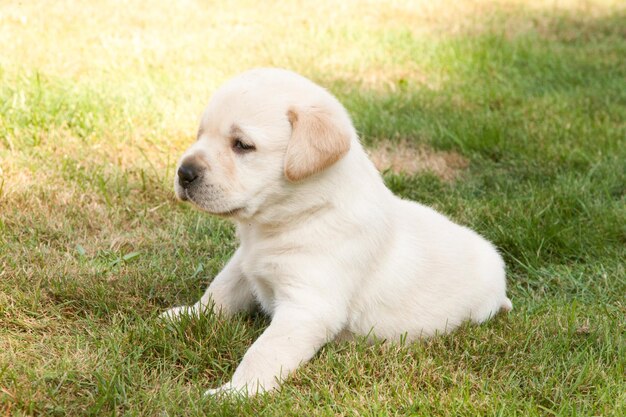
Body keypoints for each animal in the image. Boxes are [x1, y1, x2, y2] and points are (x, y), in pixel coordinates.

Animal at [163, 67, 510, 394]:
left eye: (242, 145)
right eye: (200, 134)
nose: (184, 172)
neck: (298, 214)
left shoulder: (307, 306)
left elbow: (263, 352)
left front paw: (236, 393)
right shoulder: (243, 264)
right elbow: (220, 291)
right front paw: (187, 315)